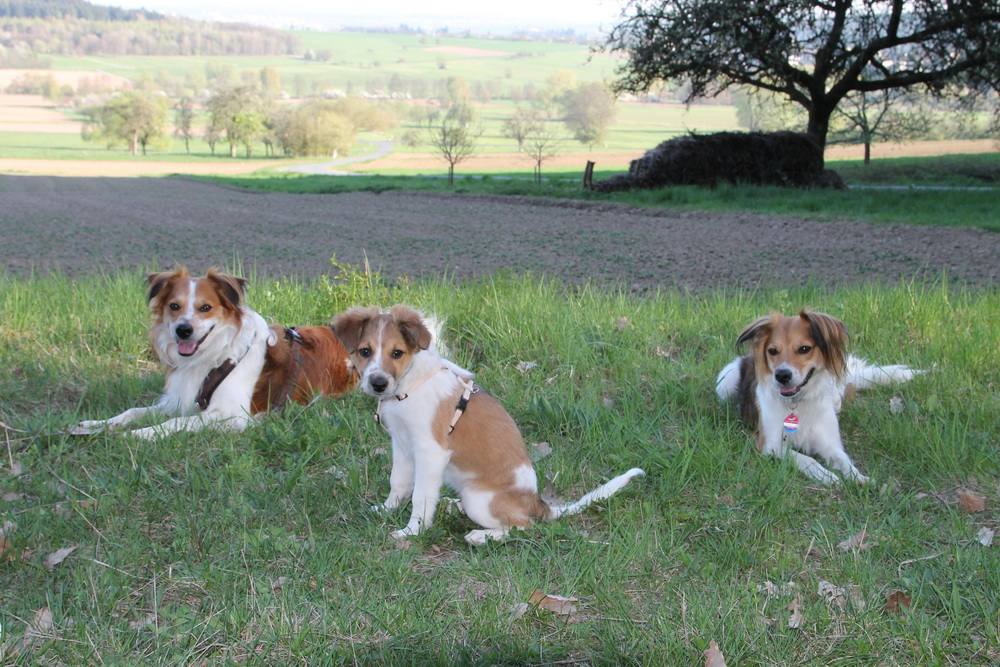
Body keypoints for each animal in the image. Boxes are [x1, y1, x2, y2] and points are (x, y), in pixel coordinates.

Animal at [75, 268, 356, 440]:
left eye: (205, 308)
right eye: (174, 306)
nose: (183, 330)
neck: (216, 356)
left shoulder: (232, 415)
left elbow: (177, 423)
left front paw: (140, 434)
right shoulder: (180, 400)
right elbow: (133, 411)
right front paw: (96, 425)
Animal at [328, 306, 640, 544]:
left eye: (397, 353)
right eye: (365, 351)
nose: (378, 384)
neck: (410, 385)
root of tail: (537, 502)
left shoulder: (430, 451)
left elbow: (421, 496)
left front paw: (411, 531)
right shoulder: (402, 444)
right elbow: (399, 483)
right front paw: (386, 510)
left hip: (477, 498)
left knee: (523, 525)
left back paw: (481, 536)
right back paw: (452, 507)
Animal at [720, 310, 920, 488]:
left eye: (804, 349)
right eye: (773, 351)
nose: (782, 375)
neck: (797, 402)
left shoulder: (830, 444)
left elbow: (844, 460)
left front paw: (859, 478)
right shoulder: (770, 445)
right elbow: (806, 458)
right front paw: (827, 476)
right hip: (725, 381)